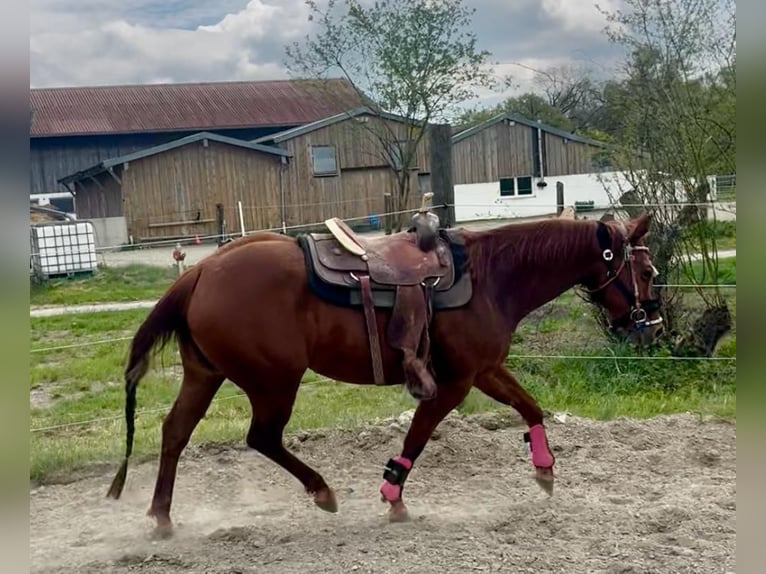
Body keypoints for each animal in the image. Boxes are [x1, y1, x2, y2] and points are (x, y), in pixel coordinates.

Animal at [105, 211, 663, 538]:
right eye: (647, 271)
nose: (650, 326)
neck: (491, 276)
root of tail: (202, 270)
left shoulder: (483, 370)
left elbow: (530, 406)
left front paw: (544, 469)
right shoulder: (454, 381)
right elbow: (418, 435)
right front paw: (393, 496)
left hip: (207, 375)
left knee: (175, 432)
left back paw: (161, 516)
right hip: (274, 381)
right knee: (262, 437)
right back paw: (322, 492)